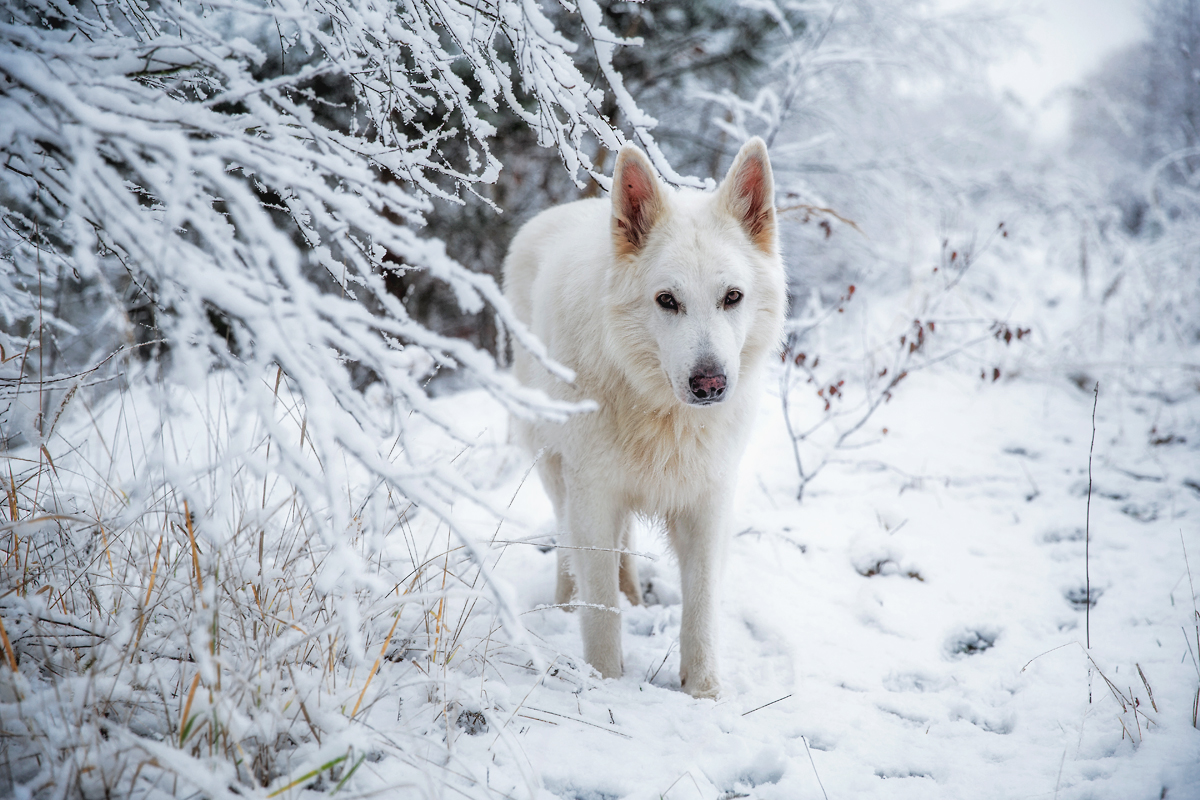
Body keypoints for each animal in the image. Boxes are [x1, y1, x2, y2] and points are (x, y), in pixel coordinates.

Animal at [501, 136, 782, 695]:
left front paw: (704, 693)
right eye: (667, 300)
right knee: (567, 540)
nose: (710, 384)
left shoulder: (707, 502)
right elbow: (599, 609)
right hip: (556, 466)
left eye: (732, 297)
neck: (661, 414)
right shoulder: (593, 492)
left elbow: (700, 608)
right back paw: (564, 605)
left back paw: (632, 596)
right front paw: (605, 681)